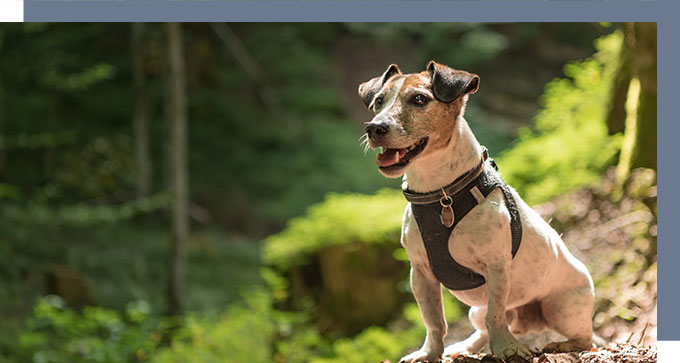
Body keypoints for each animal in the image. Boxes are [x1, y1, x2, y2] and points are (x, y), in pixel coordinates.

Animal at [358, 61, 592, 362]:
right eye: (378, 102)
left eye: (419, 99)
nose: (374, 128)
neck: (442, 194)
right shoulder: (421, 273)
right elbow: (434, 321)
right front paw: (430, 352)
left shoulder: (496, 267)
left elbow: (496, 316)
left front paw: (505, 348)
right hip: (475, 311)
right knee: (484, 328)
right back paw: (466, 347)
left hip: (562, 308)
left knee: (585, 338)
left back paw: (559, 345)